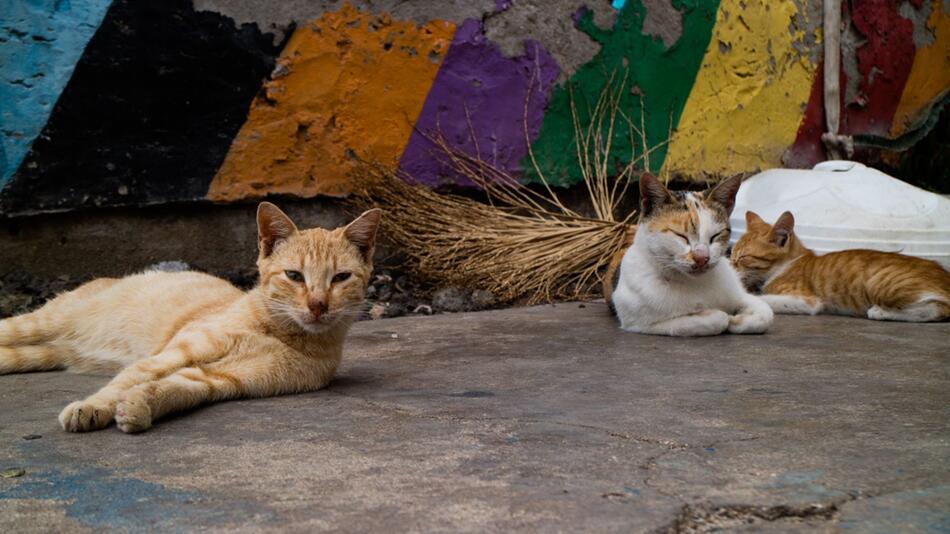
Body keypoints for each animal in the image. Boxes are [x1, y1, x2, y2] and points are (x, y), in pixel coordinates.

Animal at [0, 203, 380, 434]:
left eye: (340, 278)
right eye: (294, 276)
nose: (318, 305)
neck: (278, 333)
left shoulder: (220, 379)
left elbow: (175, 389)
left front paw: (138, 407)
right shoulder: (174, 354)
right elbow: (125, 381)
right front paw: (93, 407)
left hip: (43, 353)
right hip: (39, 323)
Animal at [608, 174, 776, 338]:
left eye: (715, 236)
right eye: (681, 236)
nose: (702, 258)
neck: (696, 282)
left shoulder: (742, 294)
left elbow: (766, 314)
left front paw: (738, 320)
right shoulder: (640, 323)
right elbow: (717, 319)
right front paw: (725, 317)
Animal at [732, 211, 948, 322]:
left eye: (743, 258)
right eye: (732, 254)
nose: (731, 267)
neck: (784, 266)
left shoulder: (807, 300)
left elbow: (765, 298)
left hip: (879, 283)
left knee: (940, 309)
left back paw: (881, 312)